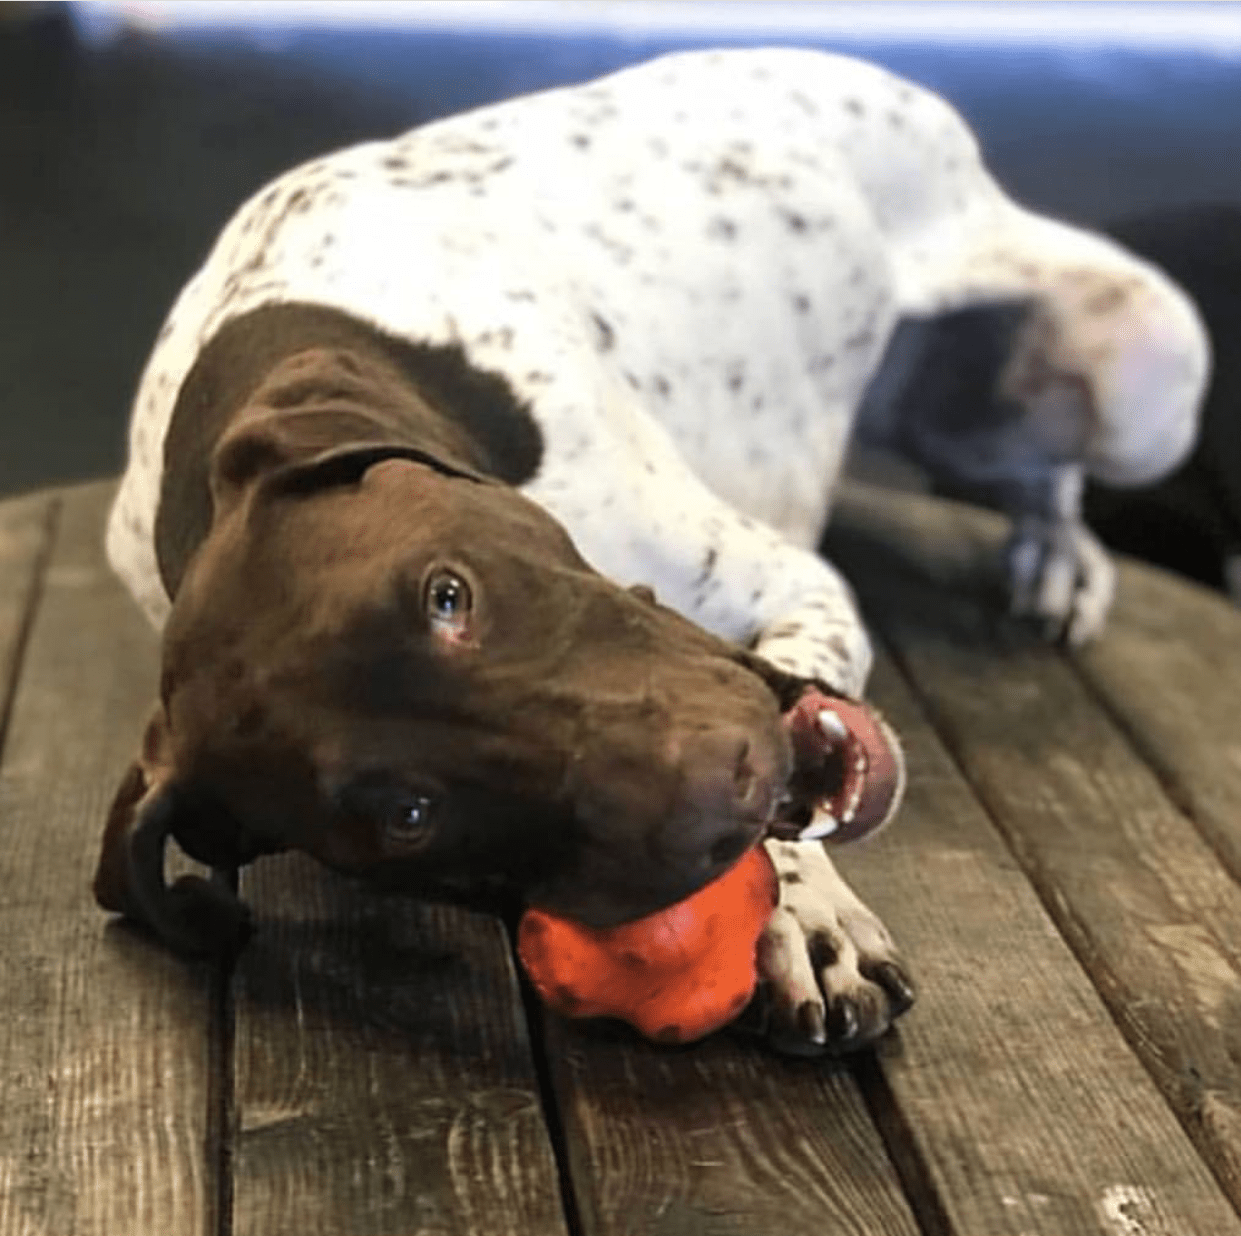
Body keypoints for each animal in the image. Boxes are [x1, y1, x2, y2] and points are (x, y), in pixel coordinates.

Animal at [96, 48, 1211, 1052]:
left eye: (448, 595)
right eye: (408, 816)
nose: (730, 777)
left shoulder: (793, 584)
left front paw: (803, 911)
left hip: (1142, 375)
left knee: (1050, 472)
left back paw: (1057, 558)